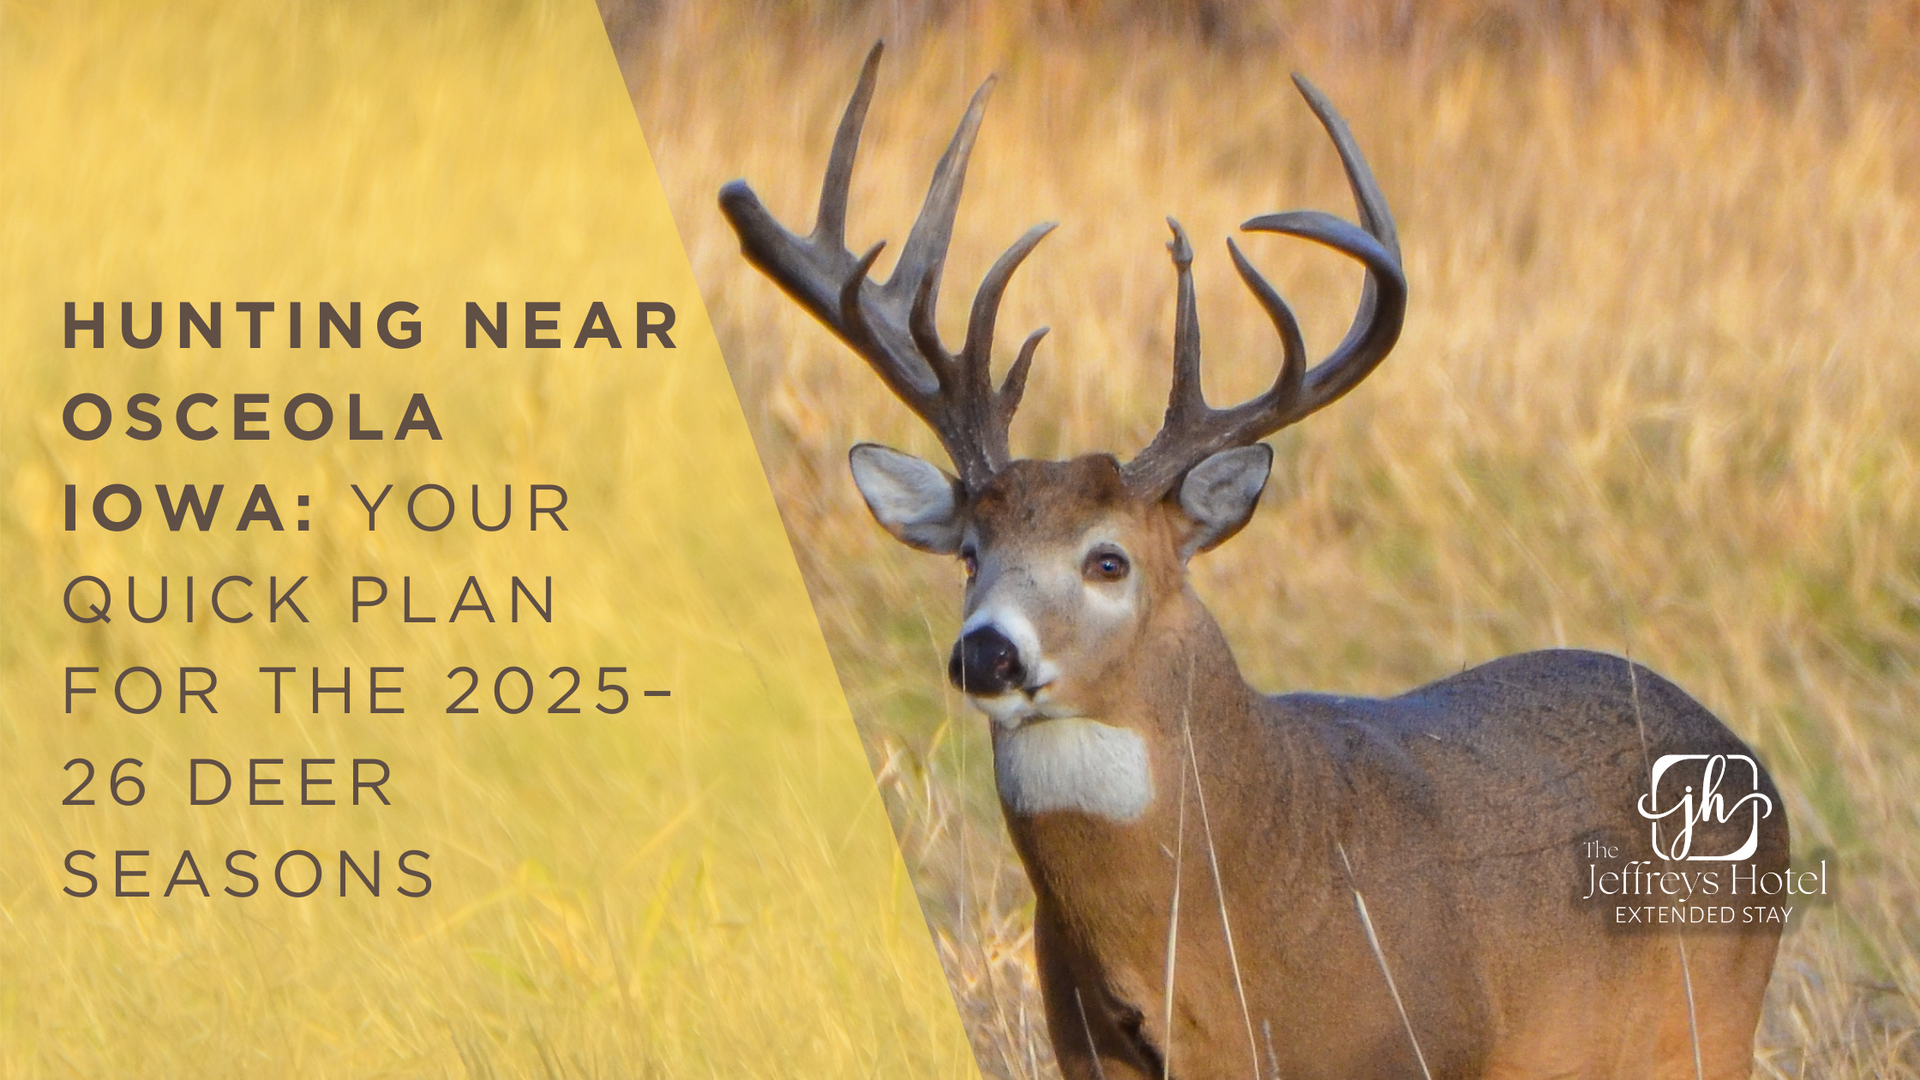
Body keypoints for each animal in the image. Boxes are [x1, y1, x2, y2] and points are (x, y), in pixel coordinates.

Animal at [720, 43, 1789, 1080]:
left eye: (1109, 561)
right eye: (970, 555)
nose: (988, 653)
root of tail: (1750, 767)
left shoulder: (1409, 1046)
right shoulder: (1089, 1053)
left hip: (1706, 1025)